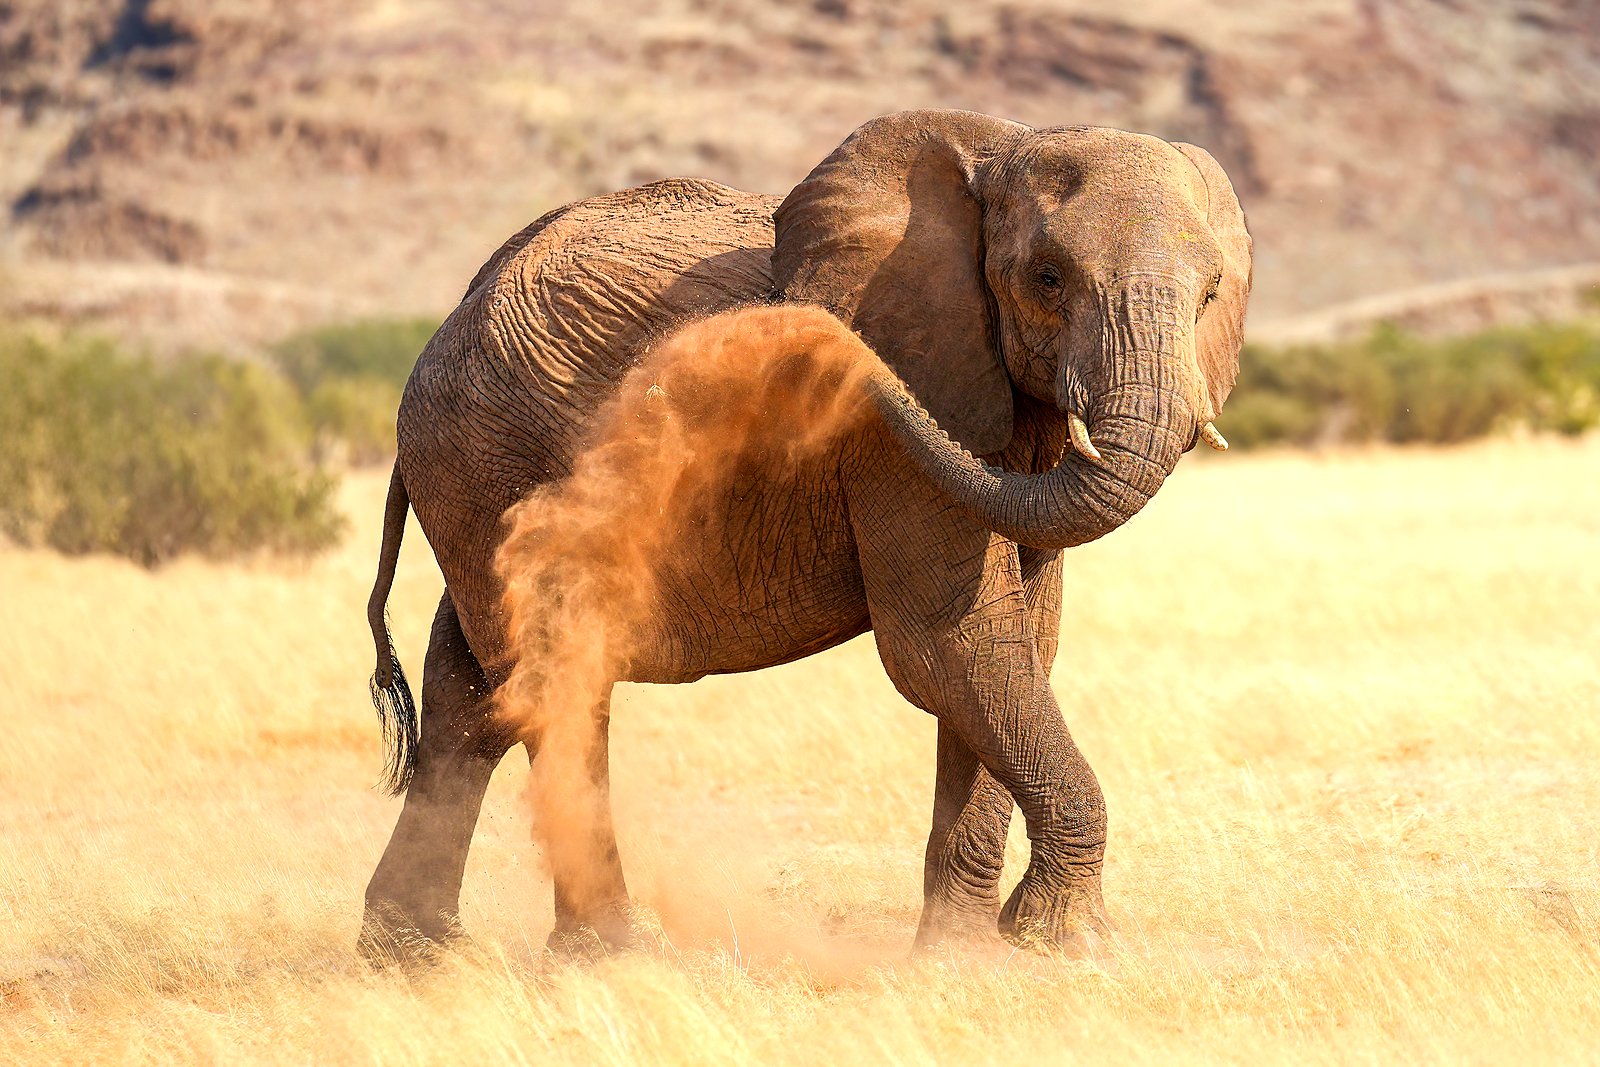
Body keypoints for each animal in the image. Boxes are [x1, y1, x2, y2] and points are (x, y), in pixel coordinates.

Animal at [357, 108, 1252, 961]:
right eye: (1048, 277)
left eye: (1211, 294)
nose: (806, 343)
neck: (1002, 146)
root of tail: (454, 312)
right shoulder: (891, 435)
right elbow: (949, 644)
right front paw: (1065, 941)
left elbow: (1021, 641)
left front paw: (968, 953)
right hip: (481, 456)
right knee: (554, 676)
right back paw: (606, 954)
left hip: (480, 481)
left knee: (468, 689)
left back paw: (415, 952)